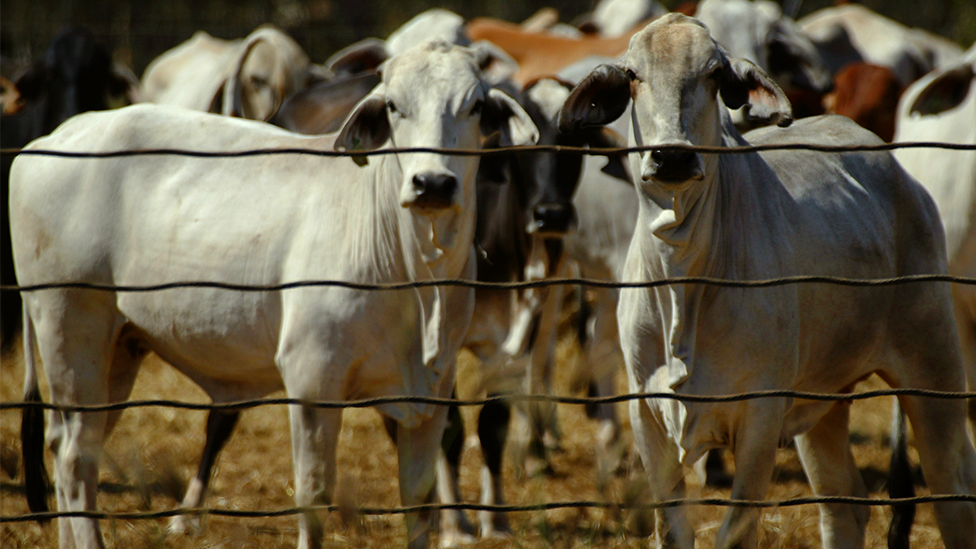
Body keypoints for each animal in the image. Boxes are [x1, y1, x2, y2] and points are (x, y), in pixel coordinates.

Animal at [15, 39, 536, 548]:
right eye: (393, 105)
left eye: (474, 105)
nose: (432, 183)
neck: (418, 281)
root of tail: (50, 140)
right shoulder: (312, 380)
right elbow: (314, 496)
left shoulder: (430, 393)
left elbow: (418, 500)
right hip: (68, 327)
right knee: (76, 456)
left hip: (119, 349)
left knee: (65, 445)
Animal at [556, 13, 976, 548]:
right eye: (632, 74)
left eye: (715, 74)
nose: (672, 156)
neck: (683, 283)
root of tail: (899, 172)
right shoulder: (647, 418)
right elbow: (672, 531)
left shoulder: (759, 418)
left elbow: (735, 533)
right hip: (825, 398)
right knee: (843, 503)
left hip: (933, 363)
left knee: (953, 488)